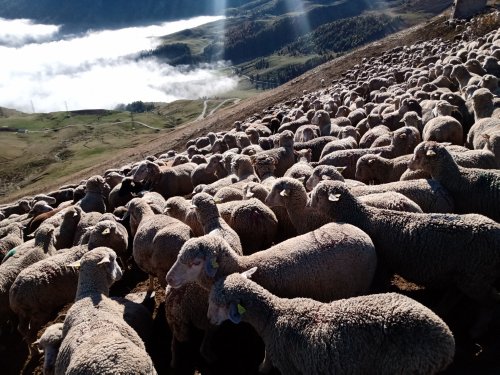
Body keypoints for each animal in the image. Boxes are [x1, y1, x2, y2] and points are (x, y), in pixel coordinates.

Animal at [209, 274, 456, 375]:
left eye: (217, 303)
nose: (210, 320)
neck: (272, 316)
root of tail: (447, 342)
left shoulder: (290, 366)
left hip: (404, 368)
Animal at [310, 181, 500, 312]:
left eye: (318, 195)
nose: (308, 198)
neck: (363, 217)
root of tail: (495, 230)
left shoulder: (382, 265)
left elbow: (381, 285)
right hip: (466, 276)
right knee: (455, 294)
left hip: (475, 277)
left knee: (491, 302)